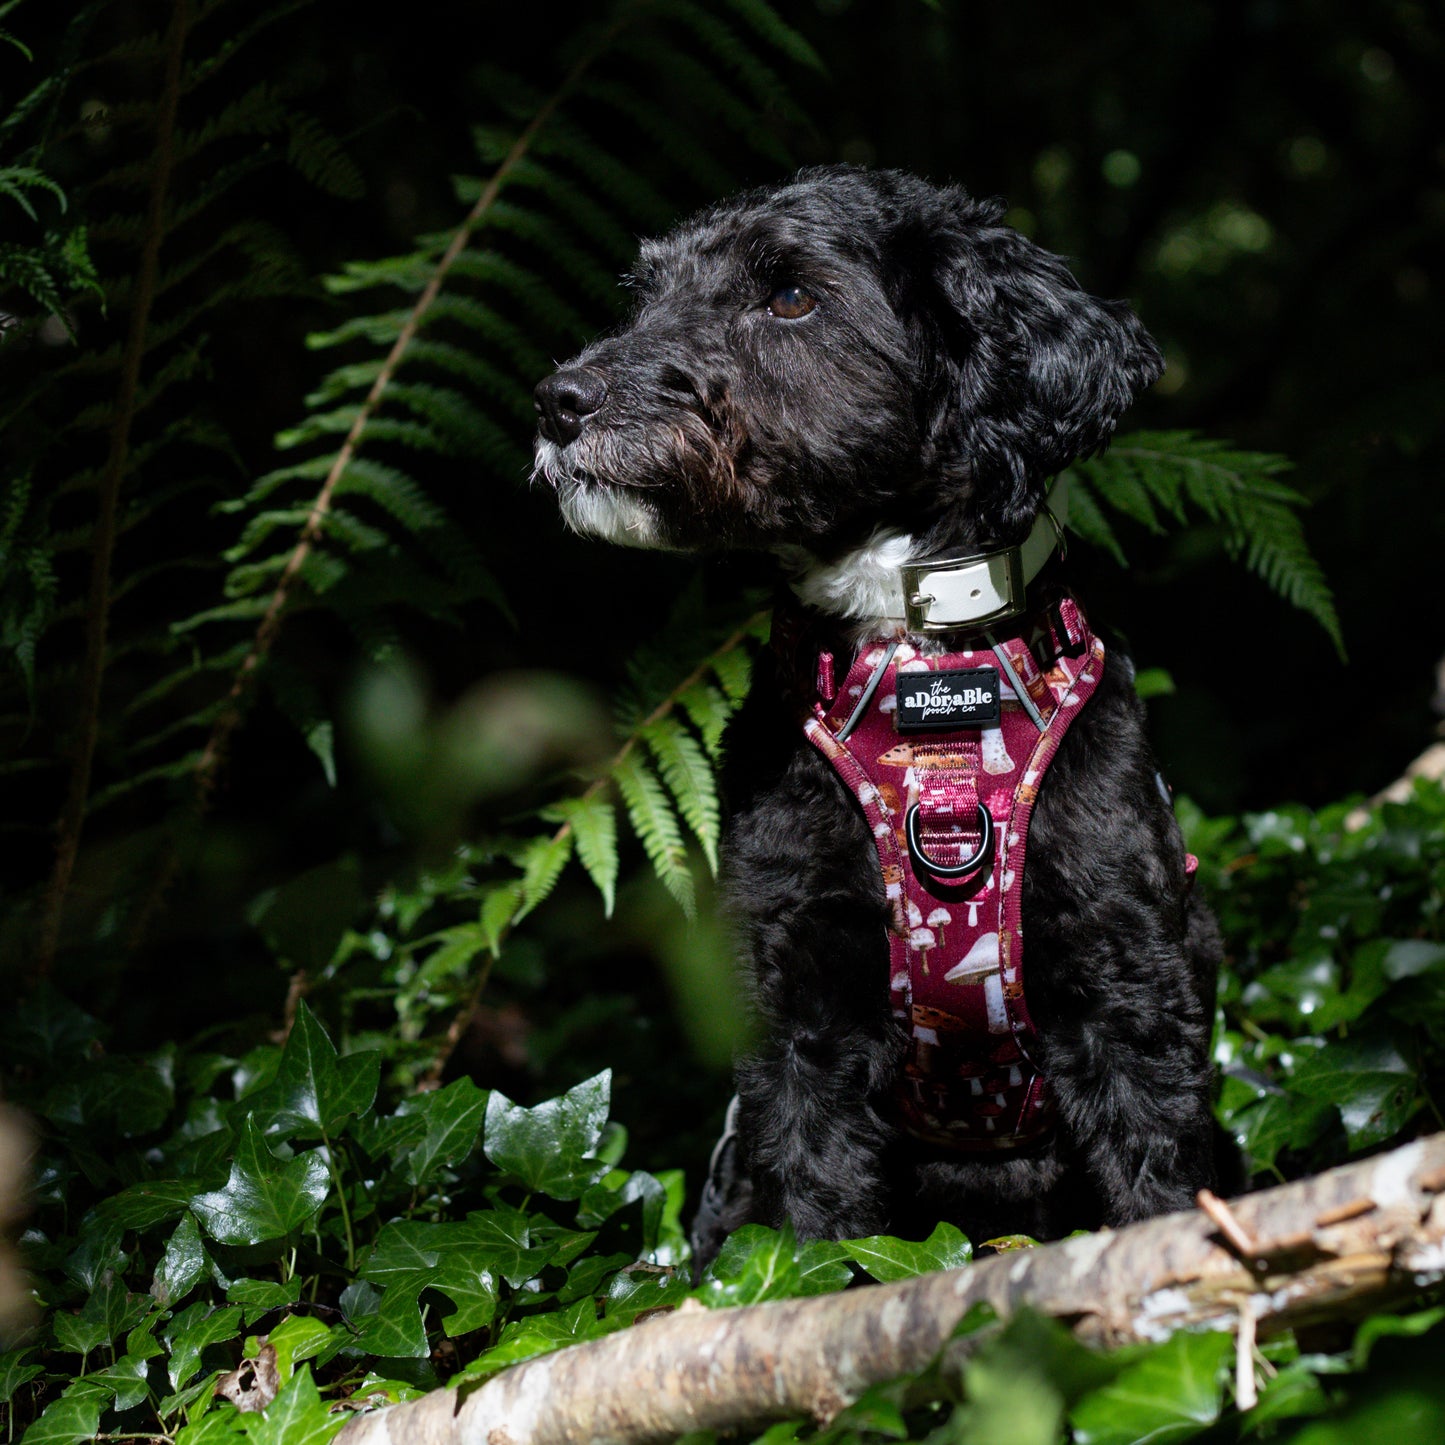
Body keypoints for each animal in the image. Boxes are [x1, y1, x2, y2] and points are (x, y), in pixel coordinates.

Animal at [531, 169, 1219, 1271]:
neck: (918, 668)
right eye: (646, 294)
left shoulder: (1125, 980)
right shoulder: (795, 1003)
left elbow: (1154, 1179)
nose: (559, 400)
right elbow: (816, 1211)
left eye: (789, 296)